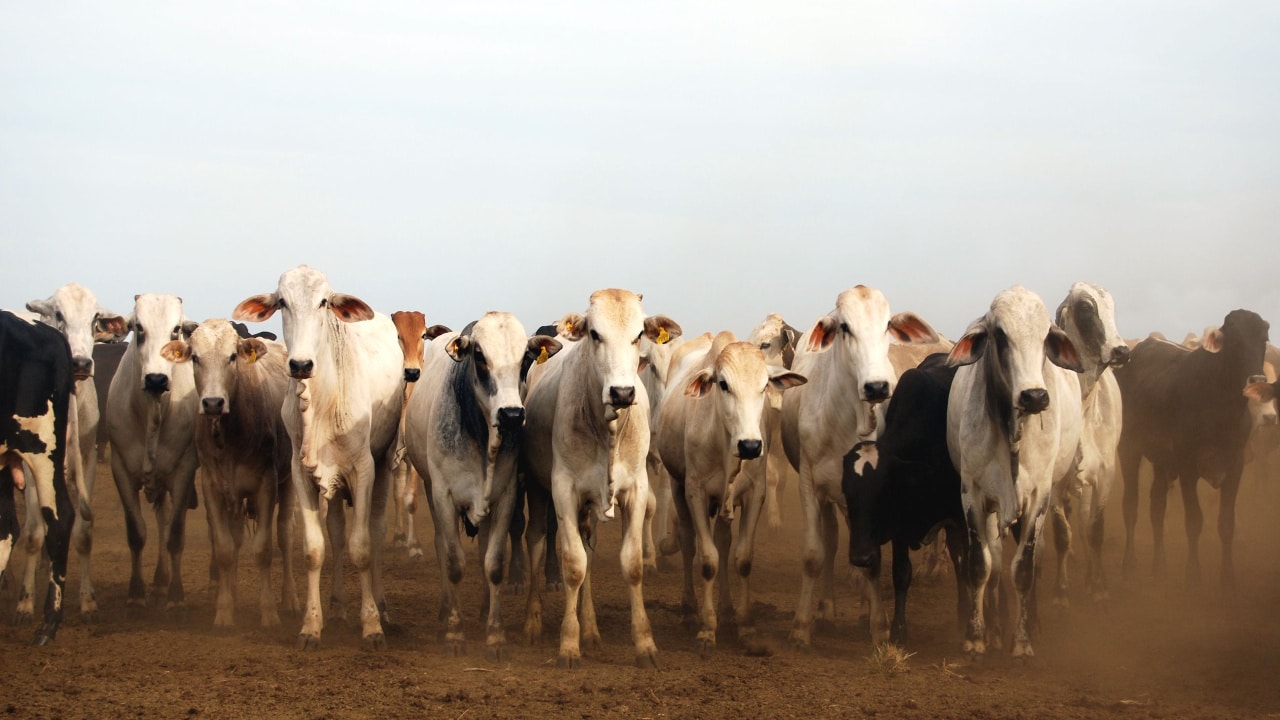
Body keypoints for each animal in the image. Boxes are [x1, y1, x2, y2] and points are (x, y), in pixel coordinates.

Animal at [839, 353, 962, 645]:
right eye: (847, 492)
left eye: (883, 492)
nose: (861, 557)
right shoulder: (900, 527)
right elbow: (901, 573)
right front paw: (898, 629)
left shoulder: (960, 517)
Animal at [1116, 307, 1274, 584]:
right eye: (1234, 340)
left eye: (1263, 338)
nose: (1256, 379)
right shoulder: (1187, 467)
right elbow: (1194, 521)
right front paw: (1193, 576)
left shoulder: (1235, 467)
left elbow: (1226, 524)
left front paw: (1228, 579)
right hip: (1129, 449)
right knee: (1131, 506)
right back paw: (1130, 564)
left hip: (1161, 463)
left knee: (1157, 508)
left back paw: (1159, 566)